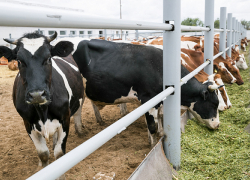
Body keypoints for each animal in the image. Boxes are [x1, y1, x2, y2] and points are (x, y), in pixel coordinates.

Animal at [0, 32, 84, 179]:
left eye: (49, 58)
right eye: (19, 61)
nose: (37, 94)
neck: (42, 110)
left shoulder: (65, 119)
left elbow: (59, 154)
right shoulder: (28, 123)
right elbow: (43, 154)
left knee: (78, 113)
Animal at [71, 39, 220, 146]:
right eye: (214, 104)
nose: (218, 125)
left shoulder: (159, 102)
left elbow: (159, 119)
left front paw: (160, 133)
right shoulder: (149, 99)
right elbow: (152, 126)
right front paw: (152, 144)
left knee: (79, 110)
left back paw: (84, 128)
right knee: (77, 111)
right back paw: (80, 131)